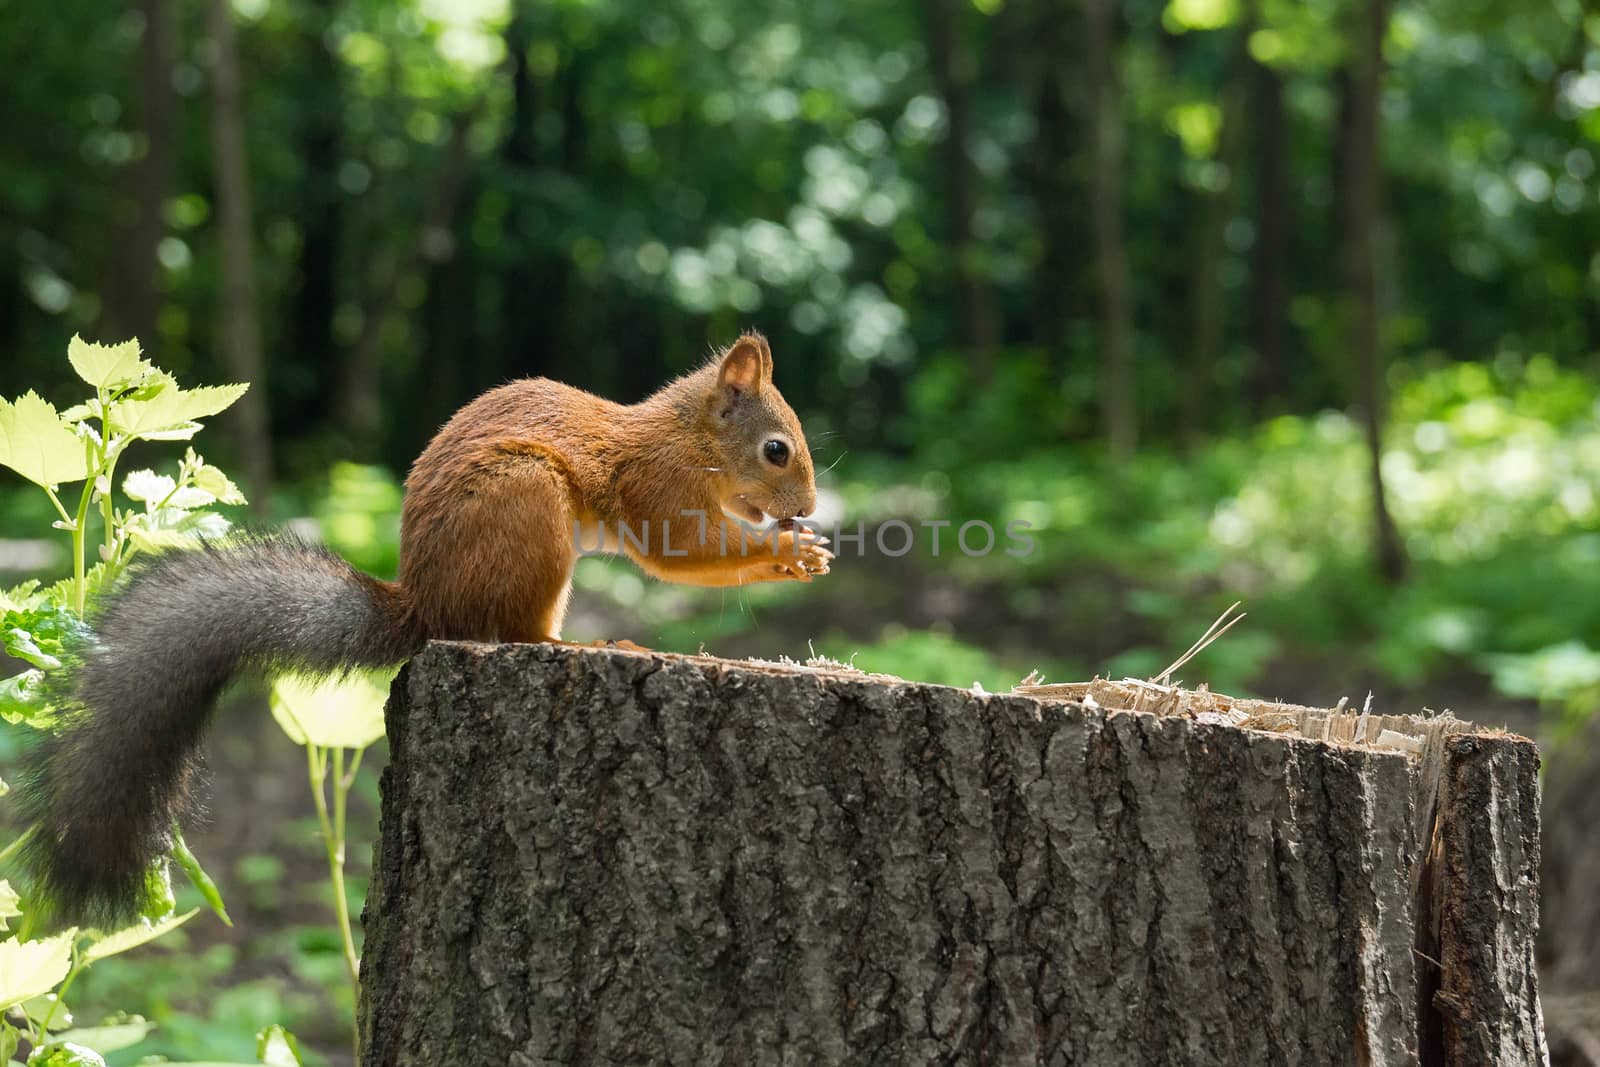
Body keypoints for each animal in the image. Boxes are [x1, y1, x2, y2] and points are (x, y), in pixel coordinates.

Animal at [18, 331, 832, 921]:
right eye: (776, 449)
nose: (805, 508)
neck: (692, 437)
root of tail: (426, 607)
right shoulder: (659, 486)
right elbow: (683, 551)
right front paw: (790, 552)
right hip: (527, 505)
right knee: (514, 632)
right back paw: (584, 642)